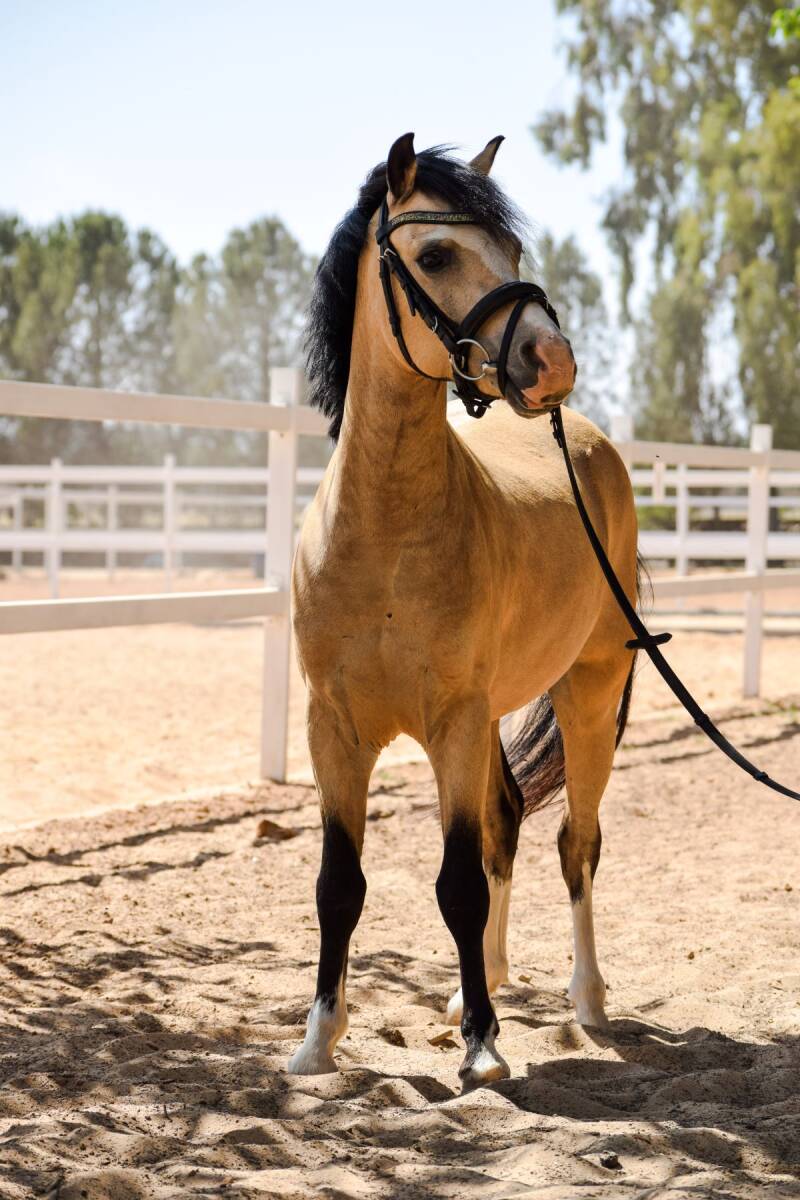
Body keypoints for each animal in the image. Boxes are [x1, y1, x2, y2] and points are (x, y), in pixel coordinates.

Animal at [287, 133, 639, 1091]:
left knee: (577, 843)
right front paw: (318, 1041)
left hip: (589, 694)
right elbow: (340, 884)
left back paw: (585, 1002)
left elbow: (456, 882)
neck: (385, 535)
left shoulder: (451, 720)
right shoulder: (335, 729)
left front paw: (484, 1047)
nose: (551, 363)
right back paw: (478, 988)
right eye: (438, 254)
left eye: (511, 248)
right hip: (492, 725)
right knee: (509, 824)